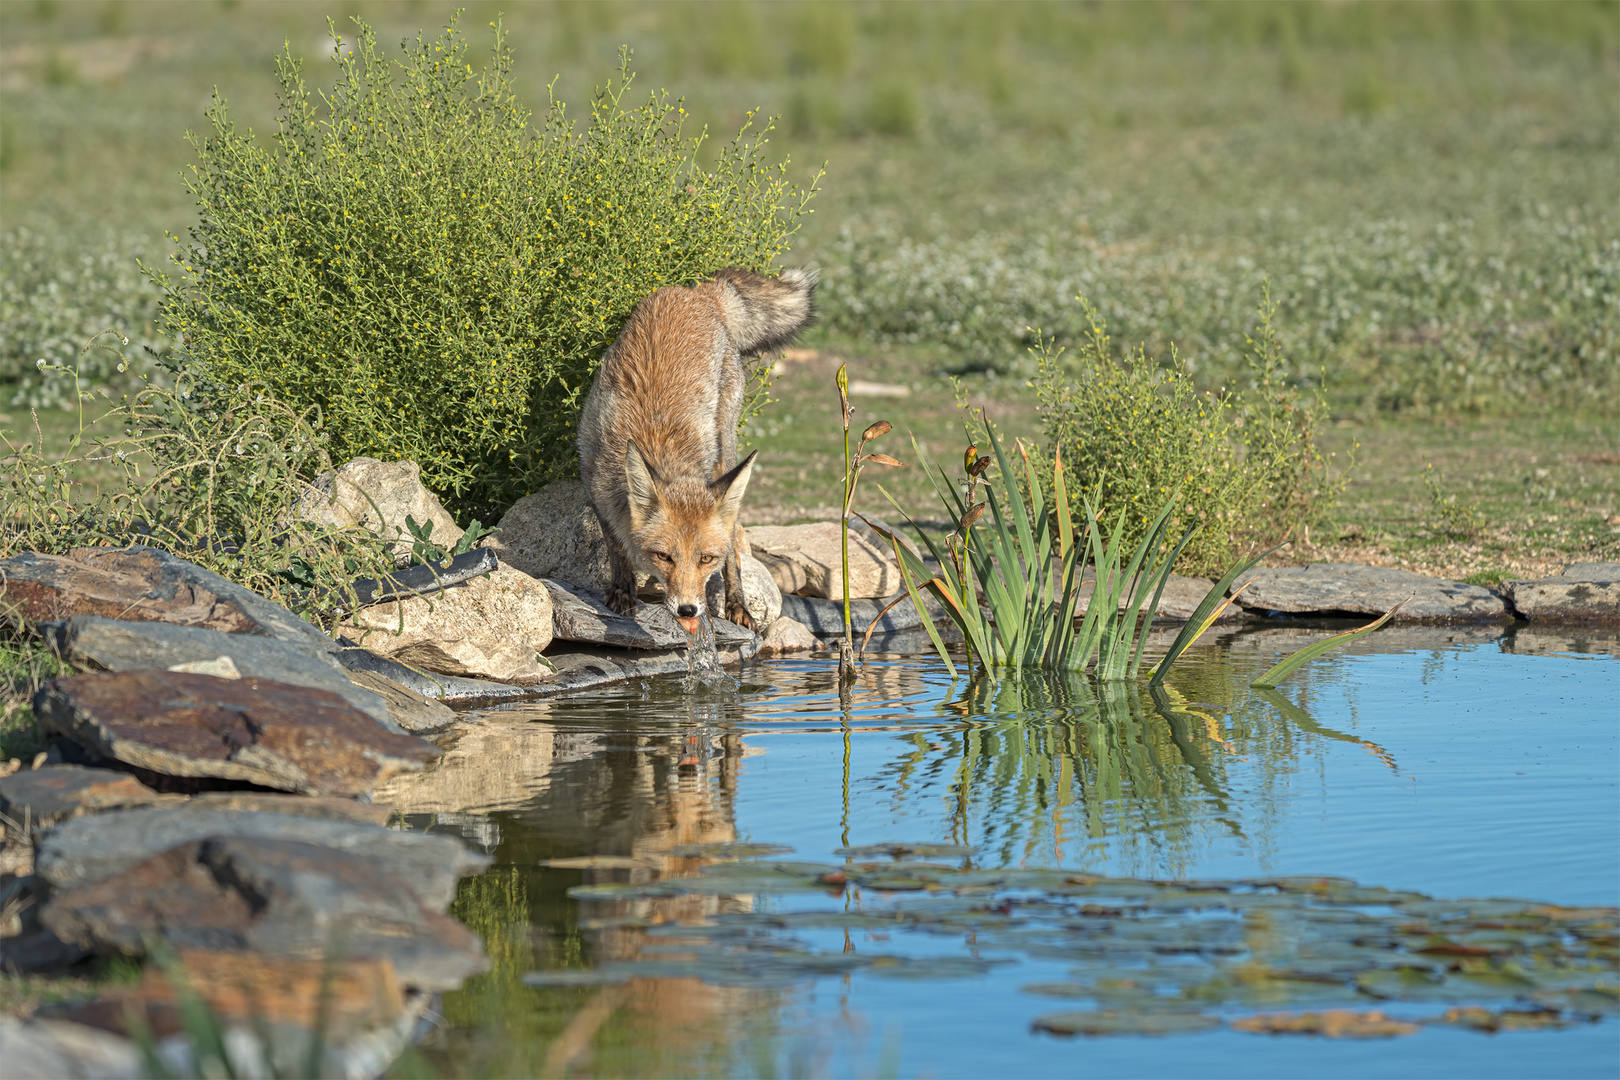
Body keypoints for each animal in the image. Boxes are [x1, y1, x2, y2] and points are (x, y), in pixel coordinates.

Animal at [576, 268, 816, 634]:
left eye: (705, 559)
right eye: (664, 556)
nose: (688, 609)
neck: (658, 445)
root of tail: (698, 292)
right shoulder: (594, 483)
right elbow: (616, 547)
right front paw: (622, 589)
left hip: (725, 450)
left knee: (734, 544)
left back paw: (737, 604)